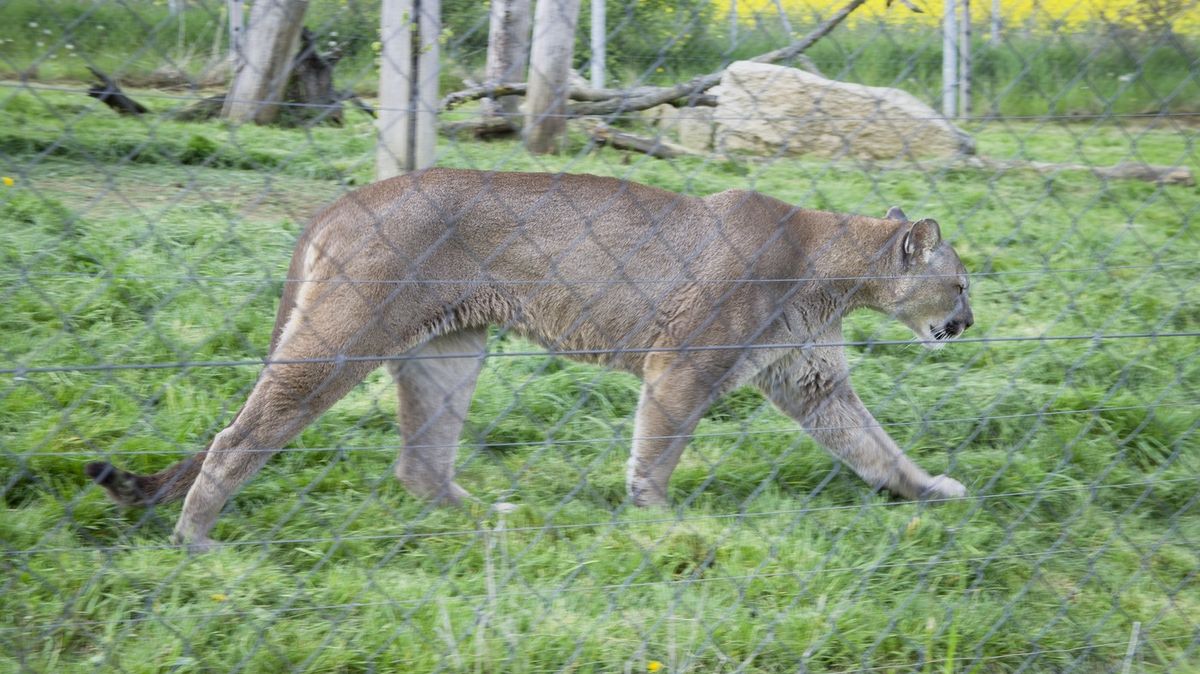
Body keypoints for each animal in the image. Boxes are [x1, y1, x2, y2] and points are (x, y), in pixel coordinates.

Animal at [91, 166, 974, 546]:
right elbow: (659, 447)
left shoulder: (812, 379)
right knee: (238, 436)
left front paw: (929, 490)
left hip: (448, 354)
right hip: (341, 343)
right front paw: (660, 517)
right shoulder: (682, 364)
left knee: (420, 465)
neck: (831, 266)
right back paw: (197, 540)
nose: (967, 322)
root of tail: (348, 197)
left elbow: (877, 446)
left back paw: (491, 519)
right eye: (960, 281)